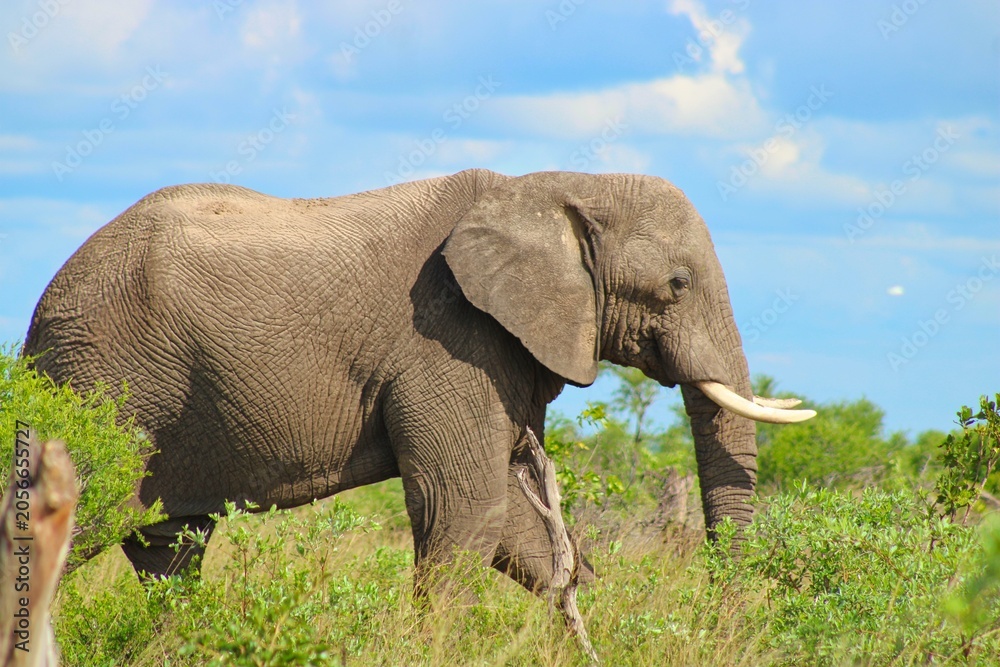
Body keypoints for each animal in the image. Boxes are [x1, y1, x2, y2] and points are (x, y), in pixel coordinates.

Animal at [24, 169, 813, 592]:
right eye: (677, 284)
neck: (551, 188)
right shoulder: (448, 341)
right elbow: (466, 508)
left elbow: (518, 523)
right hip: (102, 379)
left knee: (169, 549)